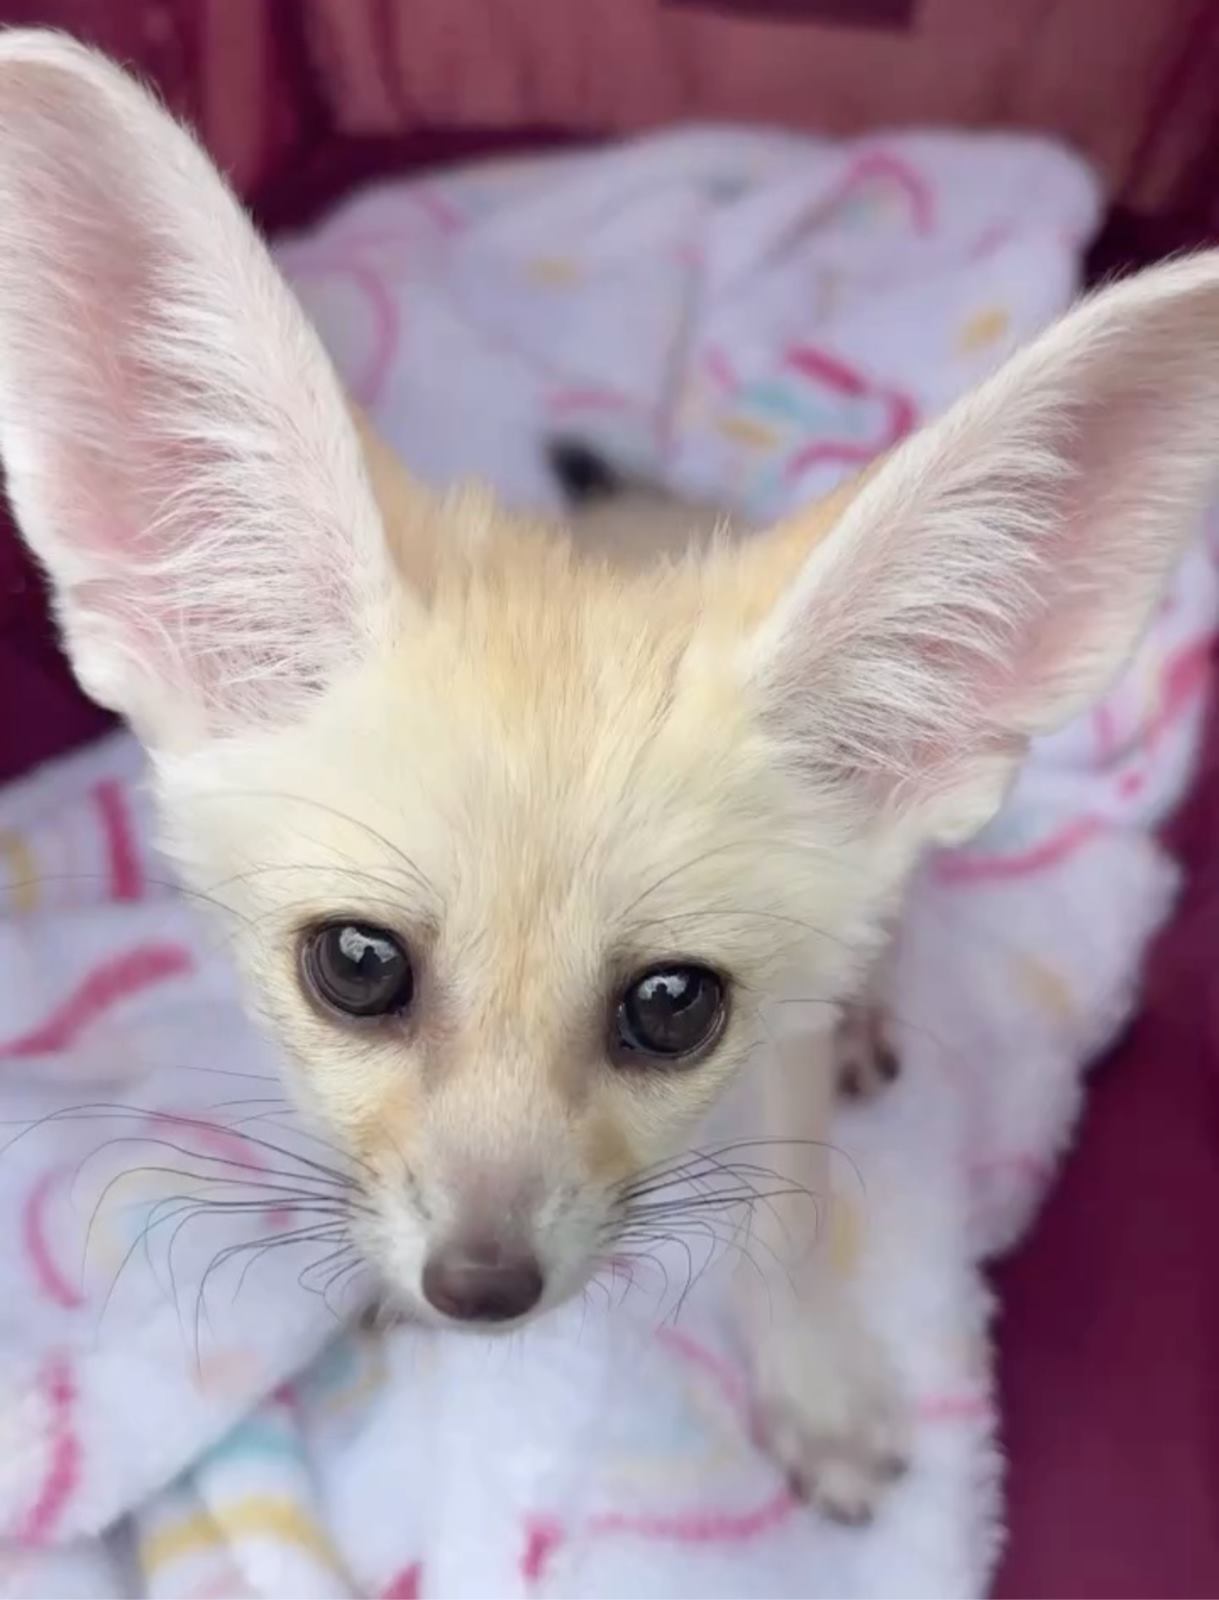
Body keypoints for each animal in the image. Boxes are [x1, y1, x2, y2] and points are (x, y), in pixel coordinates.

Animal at [0, 31, 1216, 1524]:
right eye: (355, 966)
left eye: (669, 1006)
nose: (479, 1289)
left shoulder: (772, 1044)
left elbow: (789, 1213)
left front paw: (812, 1380)